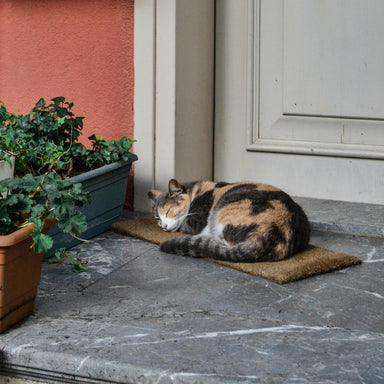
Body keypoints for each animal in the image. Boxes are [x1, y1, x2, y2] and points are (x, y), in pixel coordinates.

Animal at [148, 178, 310, 262]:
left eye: (168, 211)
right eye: (157, 218)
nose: (163, 226)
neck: (196, 191)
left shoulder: (196, 220)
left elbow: (183, 225)